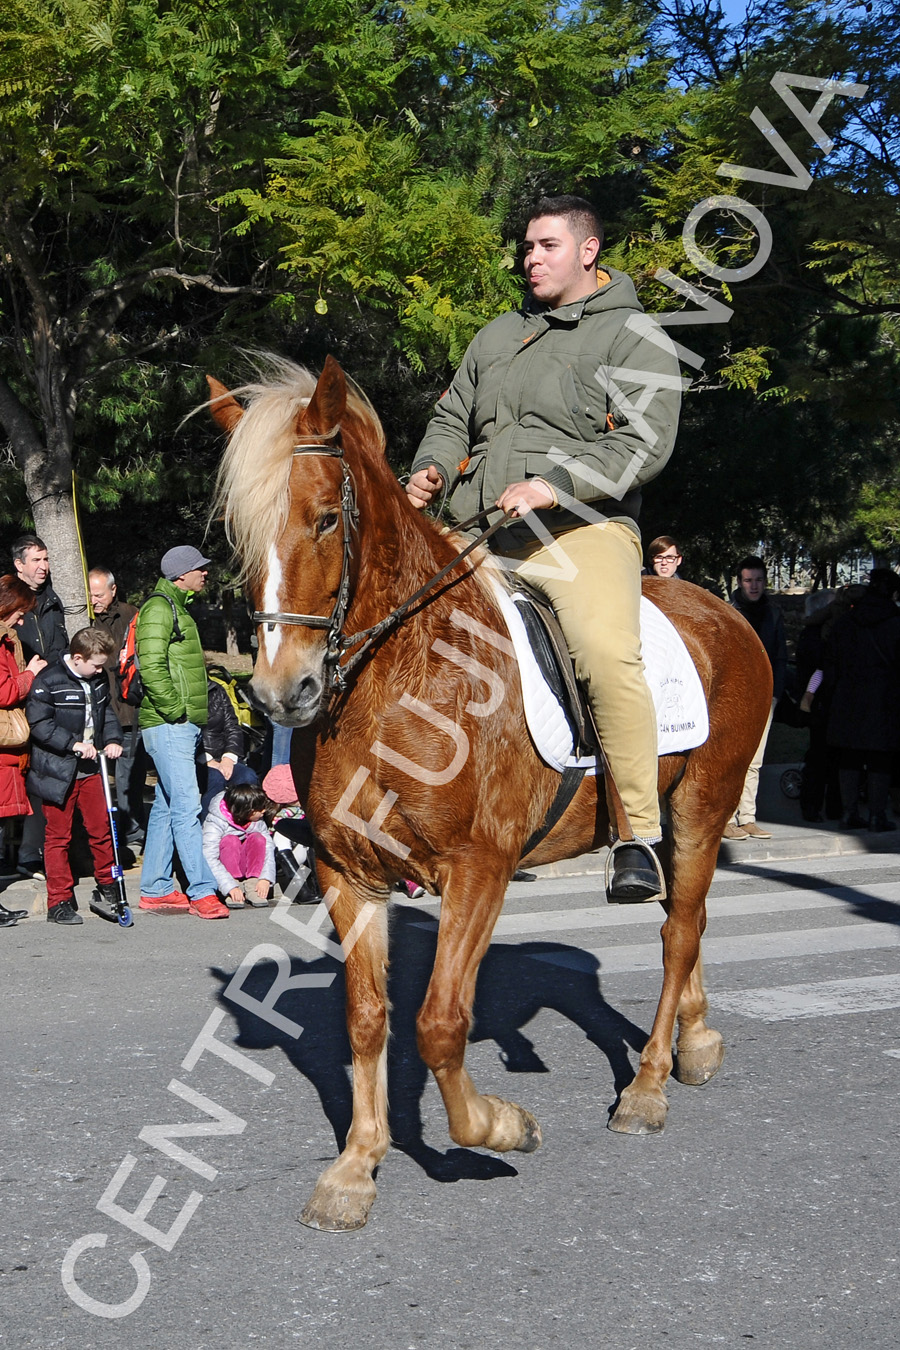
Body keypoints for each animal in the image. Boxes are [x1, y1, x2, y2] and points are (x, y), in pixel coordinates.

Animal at [207, 353, 771, 1231]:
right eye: (240, 534)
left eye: (325, 521)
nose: (279, 693)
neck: (401, 680)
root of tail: (727, 612)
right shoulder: (348, 873)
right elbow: (367, 1020)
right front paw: (355, 1168)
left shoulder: (479, 867)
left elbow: (440, 1023)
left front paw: (500, 1127)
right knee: (696, 920)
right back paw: (698, 1041)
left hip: (702, 806)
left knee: (679, 930)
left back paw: (646, 1086)